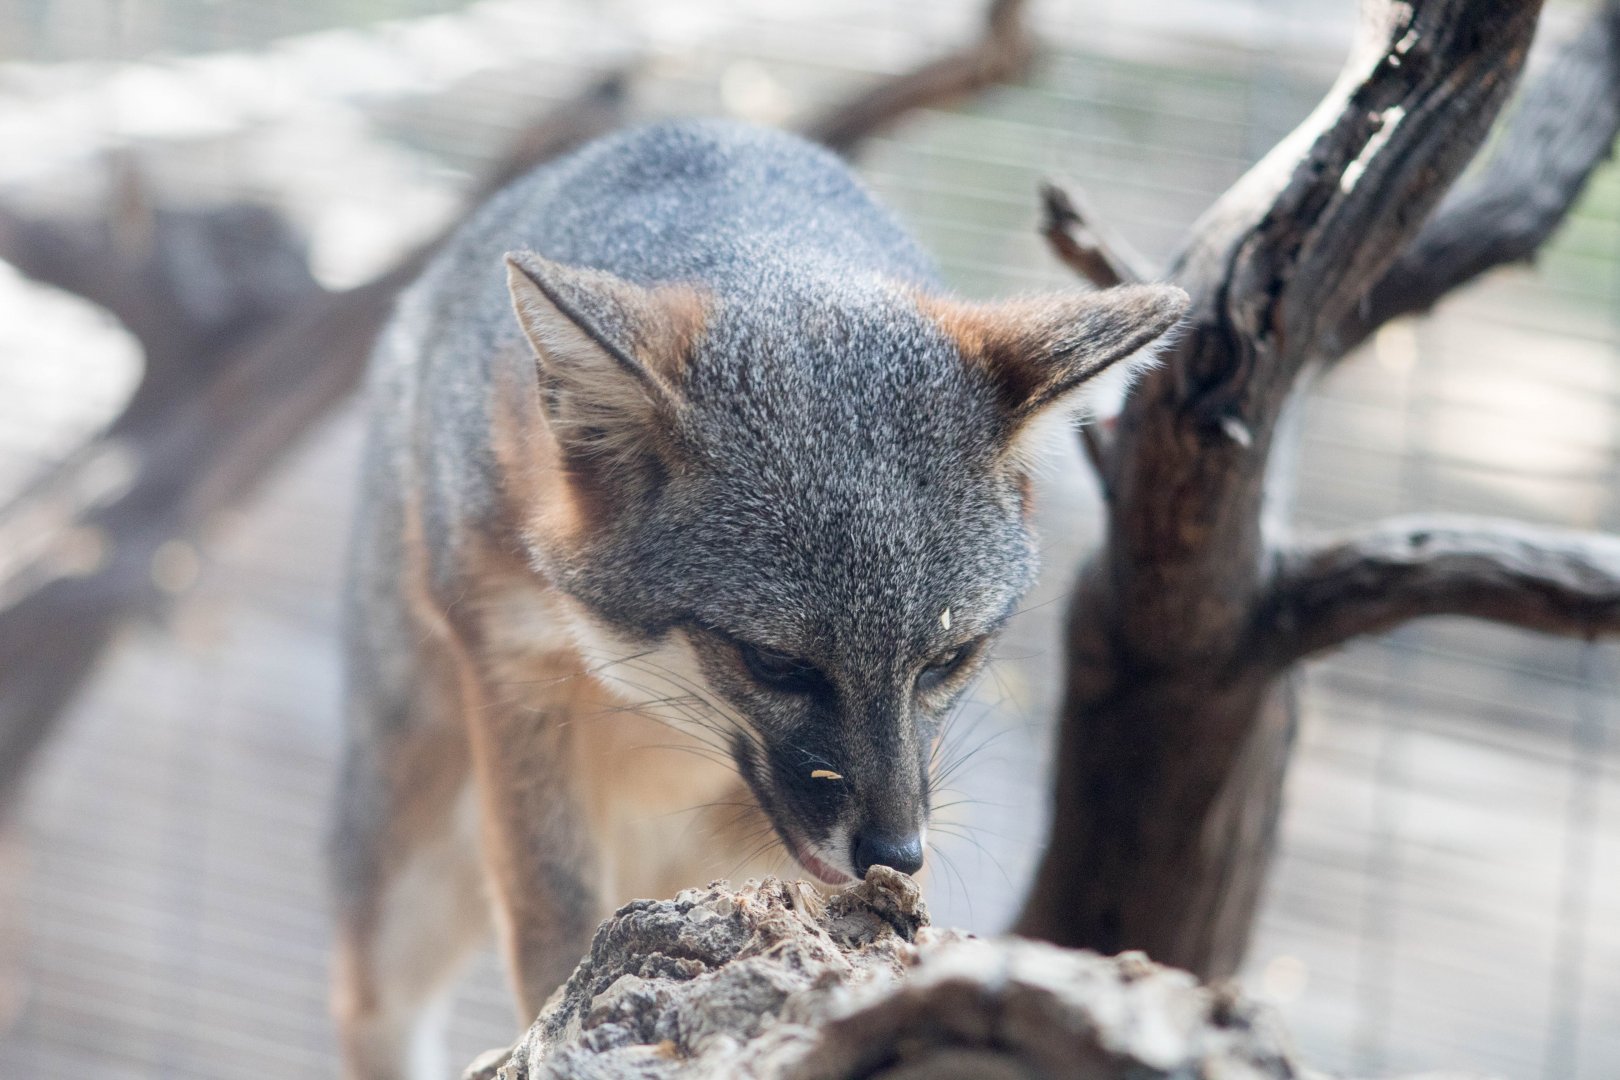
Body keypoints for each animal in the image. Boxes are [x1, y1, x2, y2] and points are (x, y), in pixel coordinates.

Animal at [329, 118, 1187, 1079]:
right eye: (776, 662)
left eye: (949, 660)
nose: (896, 852)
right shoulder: (513, 675)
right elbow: (556, 933)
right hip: (414, 874)